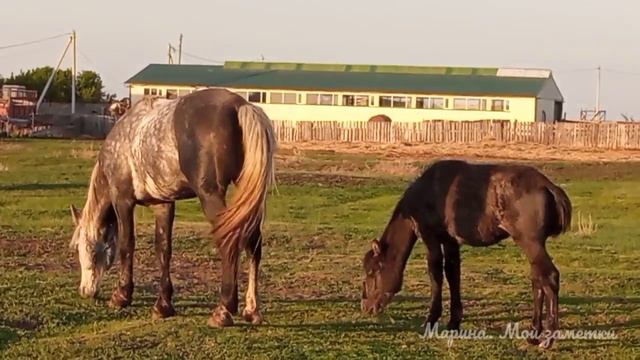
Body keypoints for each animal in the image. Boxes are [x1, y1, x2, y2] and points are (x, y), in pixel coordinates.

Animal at [69, 88, 276, 328]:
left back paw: (223, 310)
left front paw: (121, 296)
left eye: (84, 248)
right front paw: (163, 305)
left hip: (211, 196)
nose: (85, 290)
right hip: (247, 197)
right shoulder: (163, 204)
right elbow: (164, 249)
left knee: (230, 242)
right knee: (254, 244)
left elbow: (126, 244)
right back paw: (251, 310)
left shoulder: (123, 200)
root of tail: (240, 105)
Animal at [360, 160, 568, 348]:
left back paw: (547, 339)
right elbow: (453, 274)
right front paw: (454, 321)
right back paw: (533, 334)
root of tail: (549, 187)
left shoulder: (430, 236)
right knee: (538, 280)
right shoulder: (450, 240)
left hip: (530, 241)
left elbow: (436, 274)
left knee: (550, 277)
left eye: (372, 272)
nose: (366, 306)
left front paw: (431, 320)